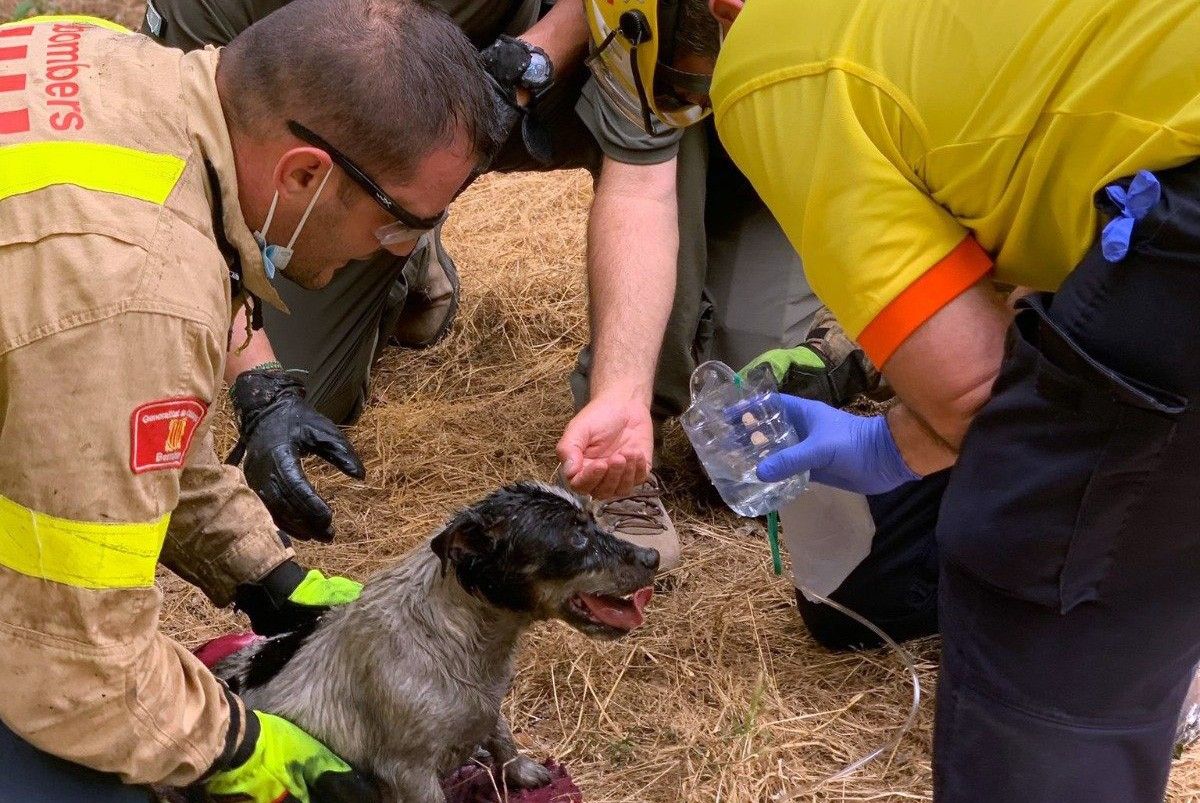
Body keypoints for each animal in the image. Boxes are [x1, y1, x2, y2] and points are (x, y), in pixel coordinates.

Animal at [213, 482, 657, 801]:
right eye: (575, 538)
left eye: (594, 518)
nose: (652, 557)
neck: (460, 643)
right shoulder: (410, 772)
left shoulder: (487, 703)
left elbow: (502, 734)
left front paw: (520, 770)